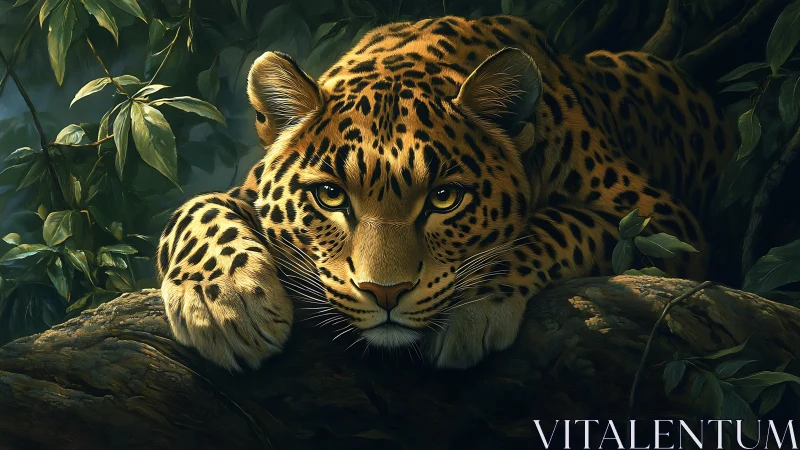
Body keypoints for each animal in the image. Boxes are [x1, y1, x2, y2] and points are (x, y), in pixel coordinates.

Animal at [155, 15, 735, 371]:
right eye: (330, 196)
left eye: (444, 199)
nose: (384, 293)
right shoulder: (243, 191)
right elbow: (196, 208)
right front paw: (223, 303)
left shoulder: (662, 222)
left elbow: (552, 225)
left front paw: (472, 305)